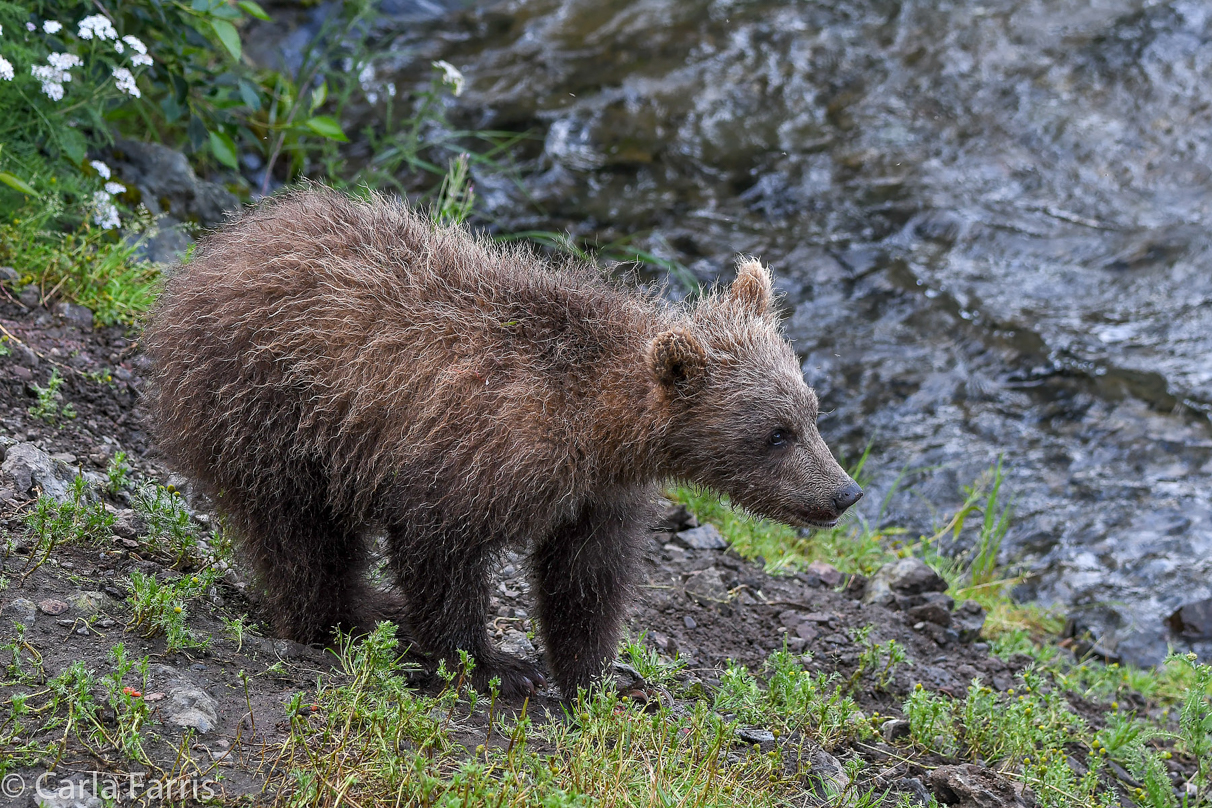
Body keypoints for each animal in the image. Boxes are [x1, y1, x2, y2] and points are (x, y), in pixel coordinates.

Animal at [144, 186, 862, 697]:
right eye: (775, 434)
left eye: (812, 411)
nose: (844, 492)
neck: (599, 427)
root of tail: (217, 248)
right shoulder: (476, 452)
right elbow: (441, 555)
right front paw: (493, 664)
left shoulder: (598, 495)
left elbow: (586, 579)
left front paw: (601, 677)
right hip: (270, 411)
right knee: (297, 534)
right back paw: (339, 621)